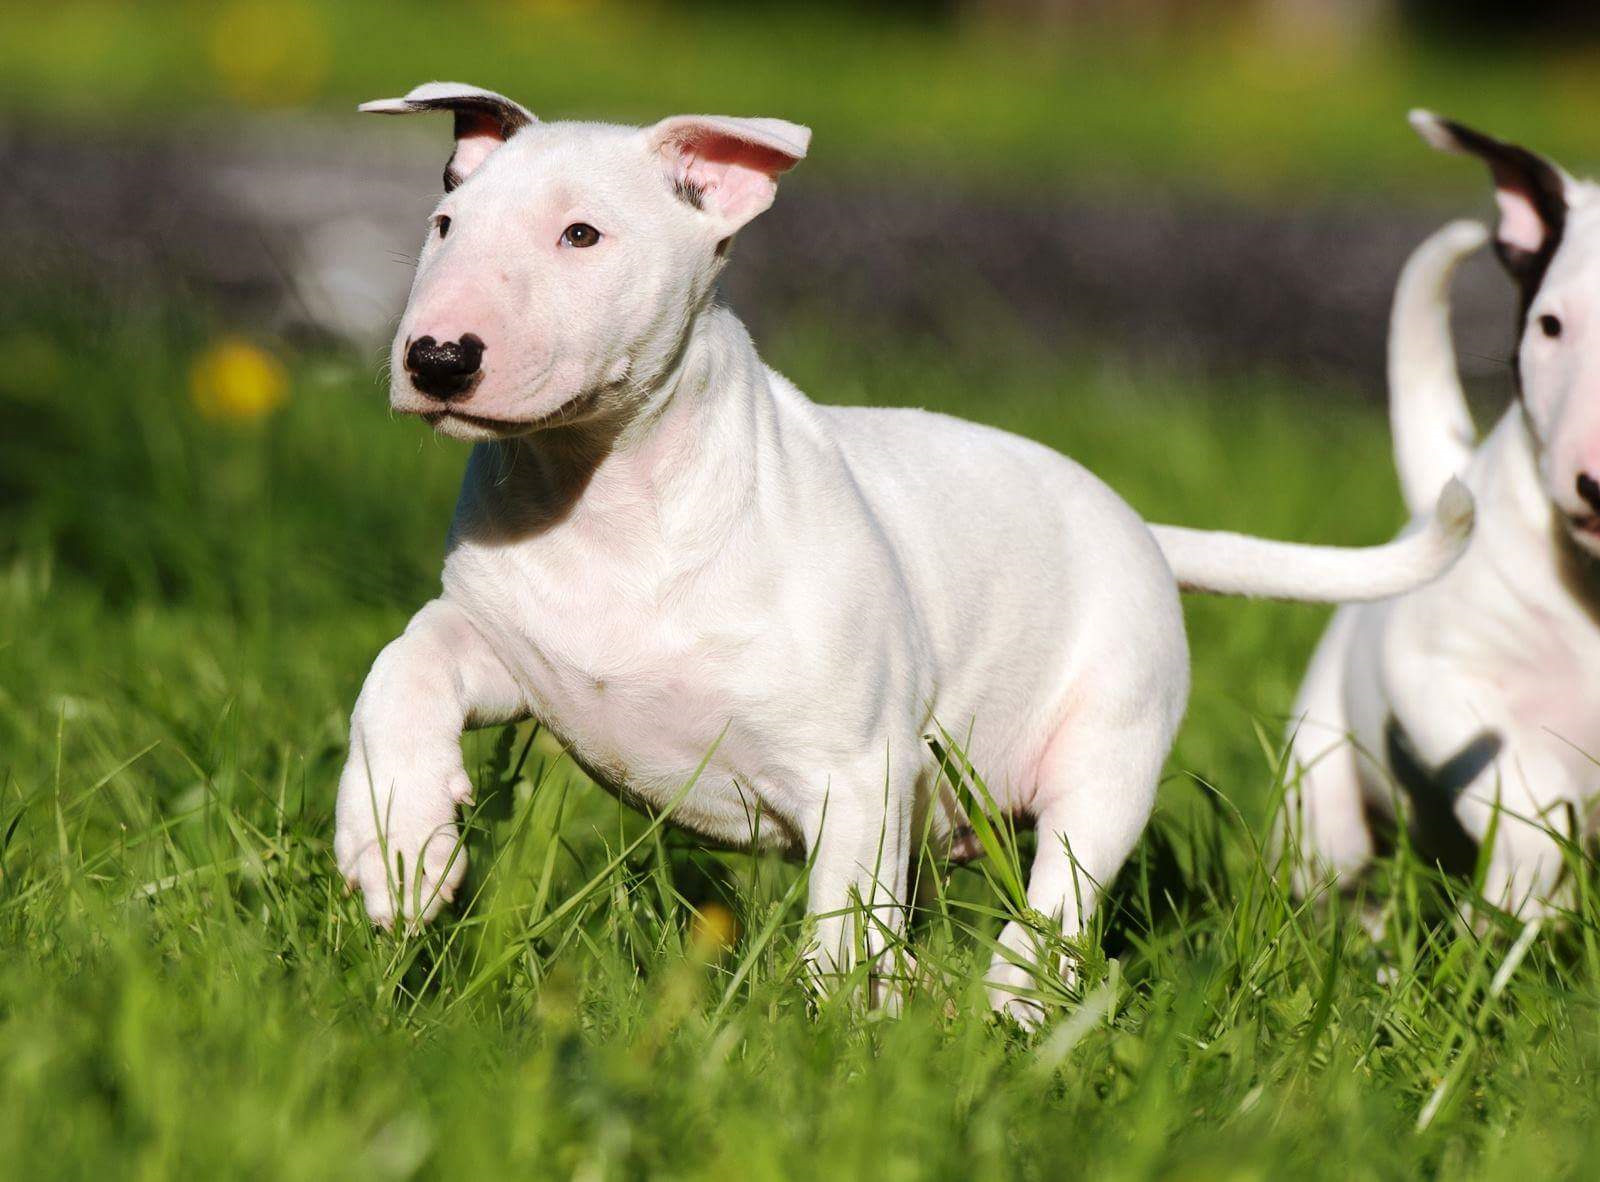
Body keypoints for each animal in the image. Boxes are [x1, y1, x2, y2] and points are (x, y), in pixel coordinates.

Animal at [340, 83, 1472, 1023]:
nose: (437, 359)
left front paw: (828, 1037)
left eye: (582, 234)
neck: (612, 498)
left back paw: (1004, 1011)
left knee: (1058, 895)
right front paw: (397, 849)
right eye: (443, 226)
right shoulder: (510, 644)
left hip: (1107, 740)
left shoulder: (857, 766)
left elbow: (843, 919)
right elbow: (405, 664)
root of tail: (1143, 530)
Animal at [1286, 113, 1600, 927]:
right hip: (1321, 765)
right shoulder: (1438, 672)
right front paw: (1510, 909)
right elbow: (1532, 802)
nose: (1595, 483)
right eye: (1550, 325)